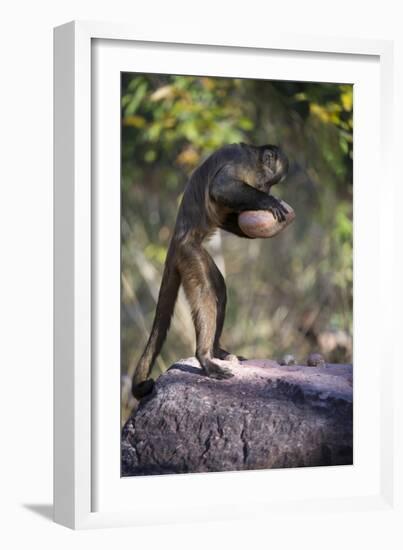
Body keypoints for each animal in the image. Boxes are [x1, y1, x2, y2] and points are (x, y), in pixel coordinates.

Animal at [133, 144, 290, 398]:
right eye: (268, 184)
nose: (266, 190)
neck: (254, 158)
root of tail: (175, 240)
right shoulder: (241, 162)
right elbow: (221, 188)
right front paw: (269, 202)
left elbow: (227, 217)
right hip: (189, 254)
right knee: (205, 293)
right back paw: (205, 358)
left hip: (196, 253)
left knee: (220, 291)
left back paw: (216, 351)